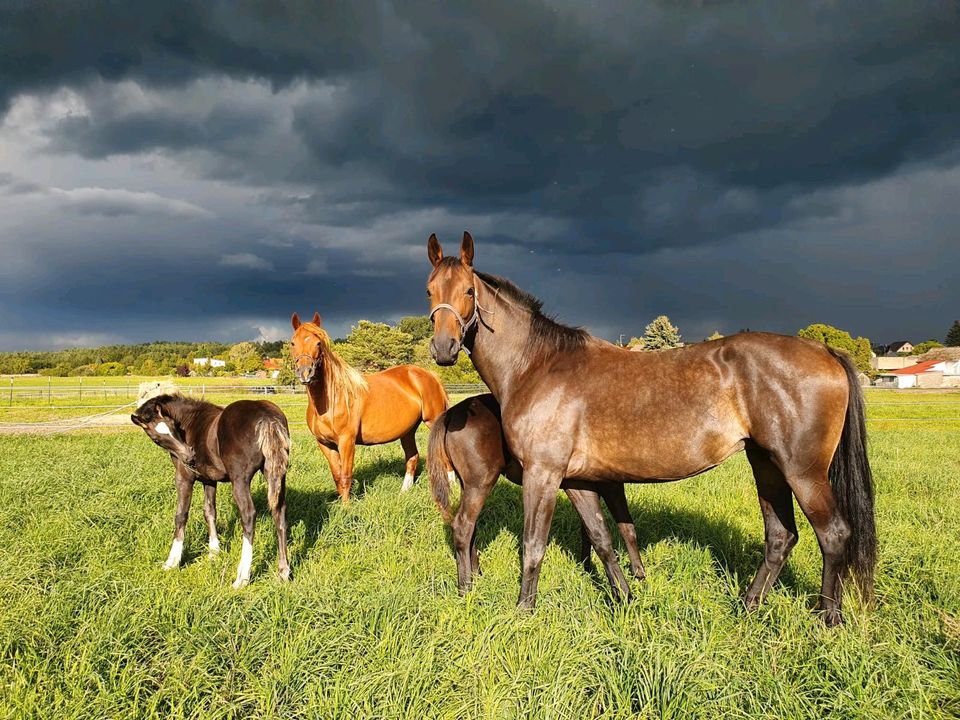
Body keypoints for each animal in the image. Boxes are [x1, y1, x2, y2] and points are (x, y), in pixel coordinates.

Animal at [130, 394, 292, 592]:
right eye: (156, 438)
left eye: (173, 426)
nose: (190, 457)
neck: (191, 422)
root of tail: (267, 416)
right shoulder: (209, 480)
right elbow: (209, 511)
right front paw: (214, 552)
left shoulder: (184, 478)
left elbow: (181, 515)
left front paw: (172, 561)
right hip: (276, 473)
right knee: (279, 512)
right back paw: (283, 572)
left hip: (240, 479)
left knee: (248, 515)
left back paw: (242, 577)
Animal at [288, 312, 450, 504]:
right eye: (293, 343)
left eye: (318, 342)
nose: (305, 373)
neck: (330, 401)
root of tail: (430, 375)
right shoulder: (324, 444)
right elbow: (336, 476)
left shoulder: (346, 442)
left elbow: (346, 476)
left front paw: (346, 507)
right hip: (408, 431)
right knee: (412, 456)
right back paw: (403, 492)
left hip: (433, 422)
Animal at [430, 396, 644, 600]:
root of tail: (452, 413)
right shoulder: (610, 485)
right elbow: (626, 527)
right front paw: (638, 573)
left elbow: (590, 528)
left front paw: (587, 566)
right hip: (480, 483)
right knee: (463, 525)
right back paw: (466, 588)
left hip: (469, 485)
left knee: (470, 526)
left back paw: (476, 575)